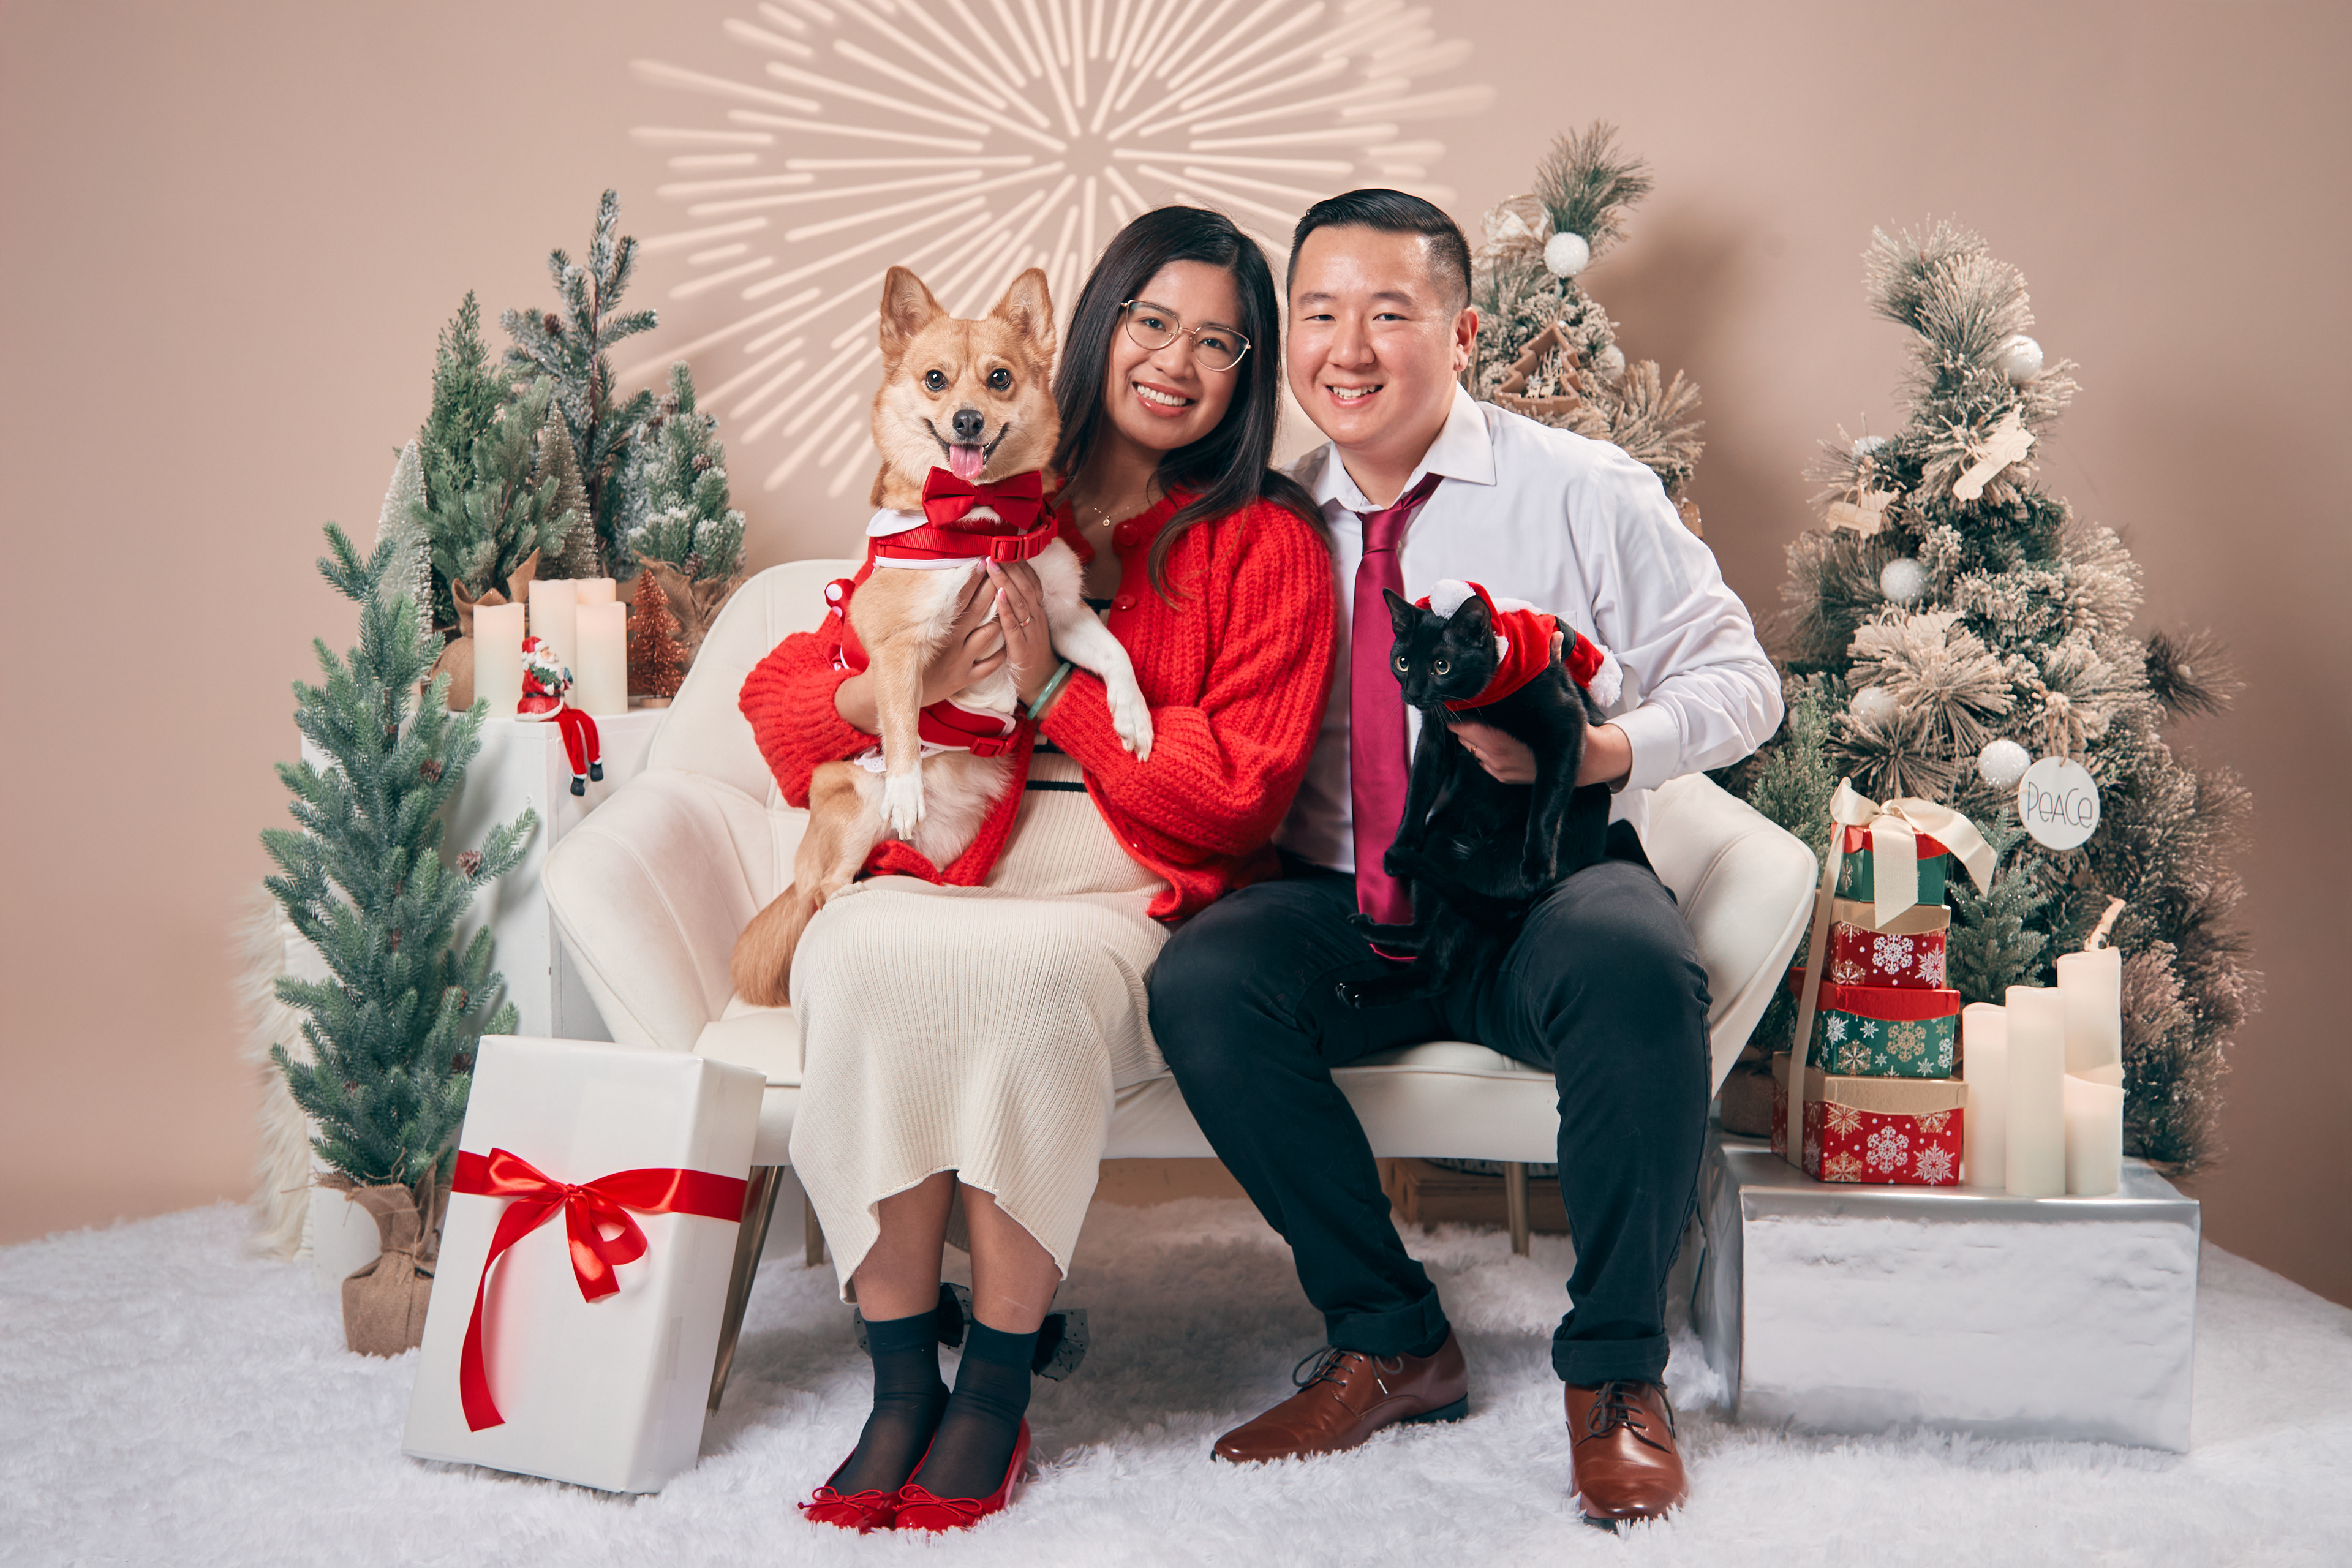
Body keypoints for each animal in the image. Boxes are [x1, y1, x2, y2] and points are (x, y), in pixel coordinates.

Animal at [729, 265, 1155, 1006]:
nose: (967, 419)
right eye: (935, 380)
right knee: (823, 891)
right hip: (851, 809)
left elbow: (1116, 655)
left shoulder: (1061, 614)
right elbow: (901, 718)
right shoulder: (897, 643)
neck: (982, 521)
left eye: (999, 379)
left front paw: (1134, 718)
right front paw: (908, 786)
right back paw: (853, 881)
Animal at [1338, 580, 1615, 1009]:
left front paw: (1537, 862)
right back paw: (1372, 927)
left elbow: (1548, 797)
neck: (1477, 704)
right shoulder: (1434, 737)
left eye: (1442, 666)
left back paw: (1359, 990)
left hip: (1483, 873)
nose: (1413, 693)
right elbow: (1418, 791)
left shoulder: (1566, 723)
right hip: (1439, 842)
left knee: (1435, 972)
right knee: (1425, 931)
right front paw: (1401, 843)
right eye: (1403, 662)